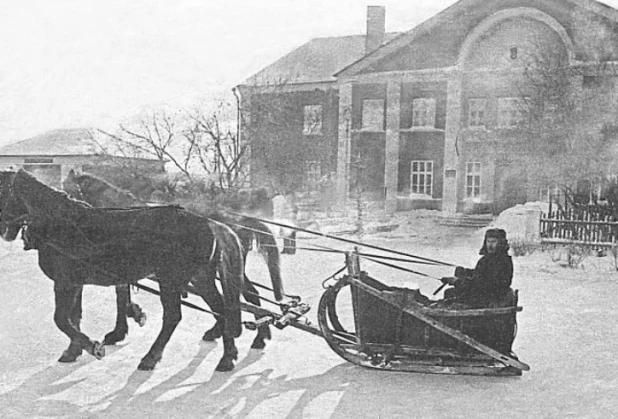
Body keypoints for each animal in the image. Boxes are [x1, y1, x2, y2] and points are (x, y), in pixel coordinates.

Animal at [0, 169, 245, 372]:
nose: (5, 231)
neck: (59, 222)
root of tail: (208, 222)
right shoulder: (74, 283)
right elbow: (74, 317)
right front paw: (74, 350)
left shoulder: (65, 283)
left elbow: (61, 319)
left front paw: (93, 346)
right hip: (200, 278)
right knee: (222, 310)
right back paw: (228, 356)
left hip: (171, 280)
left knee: (173, 317)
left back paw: (151, 357)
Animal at [62, 171, 284, 352]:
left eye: (69, 191)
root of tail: (238, 221)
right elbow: (122, 295)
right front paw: (131, 318)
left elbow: (120, 296)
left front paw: (122, 327)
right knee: (246, 296)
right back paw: (254, 335)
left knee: (240, 298)